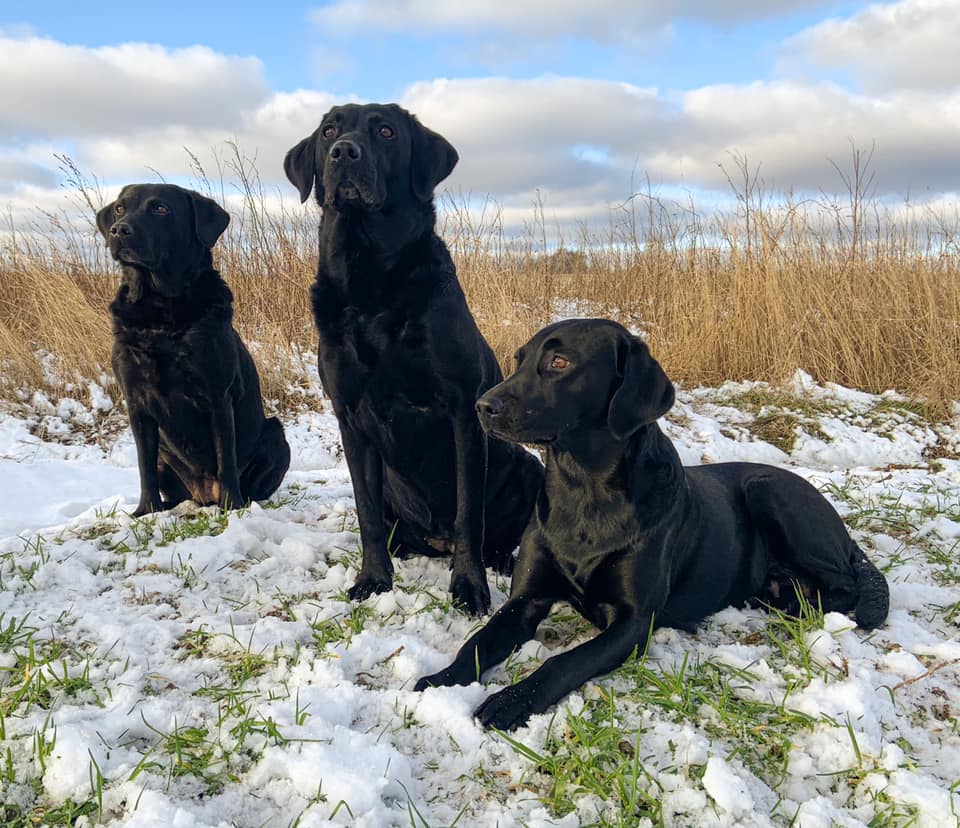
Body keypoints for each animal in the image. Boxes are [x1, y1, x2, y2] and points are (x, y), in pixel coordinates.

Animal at [98, 184, 294, 516]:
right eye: (120, 209)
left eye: (161, 208)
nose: (119, 230)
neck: (160, 312)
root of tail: (203, 495)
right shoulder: (136, 401)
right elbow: (144, 465)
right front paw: (146, 510)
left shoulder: (217, 396)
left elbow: (225, 458)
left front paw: (232, 505)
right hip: (166, 456)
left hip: (276, 436)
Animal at [284, 103, 540, 612]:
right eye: (329, 131)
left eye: (386, 132)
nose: (344, 152)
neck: (371, 286)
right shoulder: (349, 416)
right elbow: (366, 513)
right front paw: (373, 579)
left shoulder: (462, 409)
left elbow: (467, 512)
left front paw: (469, 586)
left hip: (528, 465)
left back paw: (498, 561)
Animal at [416, 320, 888, 728]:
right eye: (518, 360)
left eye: (559, 362)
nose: (483, 406)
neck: (583, 490)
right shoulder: (526, 600)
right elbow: (477, 642)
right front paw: (441, 681)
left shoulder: (633, 622)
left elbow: (561, 663)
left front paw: (510, 700)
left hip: (768, 490)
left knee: (844, 584)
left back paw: (797, 607)